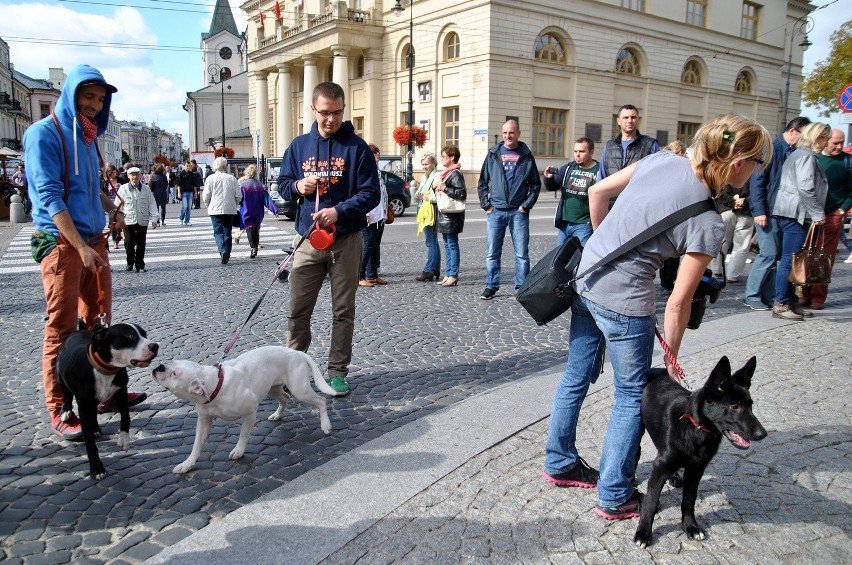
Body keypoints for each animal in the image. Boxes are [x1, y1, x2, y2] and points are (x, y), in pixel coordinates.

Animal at [56, 324, 158, 478]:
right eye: (130, 336)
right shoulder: (83, 405)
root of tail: (79, 330)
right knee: (66, 393)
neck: (106, 370)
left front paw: (123, 438)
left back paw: (95, 428)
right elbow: (89, 442)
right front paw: (96, 468)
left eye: (144, 334)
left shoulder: (121, 390)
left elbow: (125, 416)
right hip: (60, 378)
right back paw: (66, 411)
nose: (155, 346)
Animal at [151, 346, 342, 474]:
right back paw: (277, 415)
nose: (159, 366)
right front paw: (187, 464)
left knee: (321, 400)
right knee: (285, 398)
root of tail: (295, 352)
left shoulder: (250, 412)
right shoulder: (204, 420)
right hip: (273, 388)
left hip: (300, 390)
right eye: (172, 362)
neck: (216, 385)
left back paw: (326, 425)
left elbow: (244, 434)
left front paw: (239, 451)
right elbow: (197, 445)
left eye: (174, 374)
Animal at [632, 356, 764, 548]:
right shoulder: (660, 467)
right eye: (734, 406)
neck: (696, 428)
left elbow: (689, 500)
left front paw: (690, 527)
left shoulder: (696, 469)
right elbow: (651, 502)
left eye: (751, 405)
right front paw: (643, 533)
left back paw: (674, 476)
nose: (763, 433)